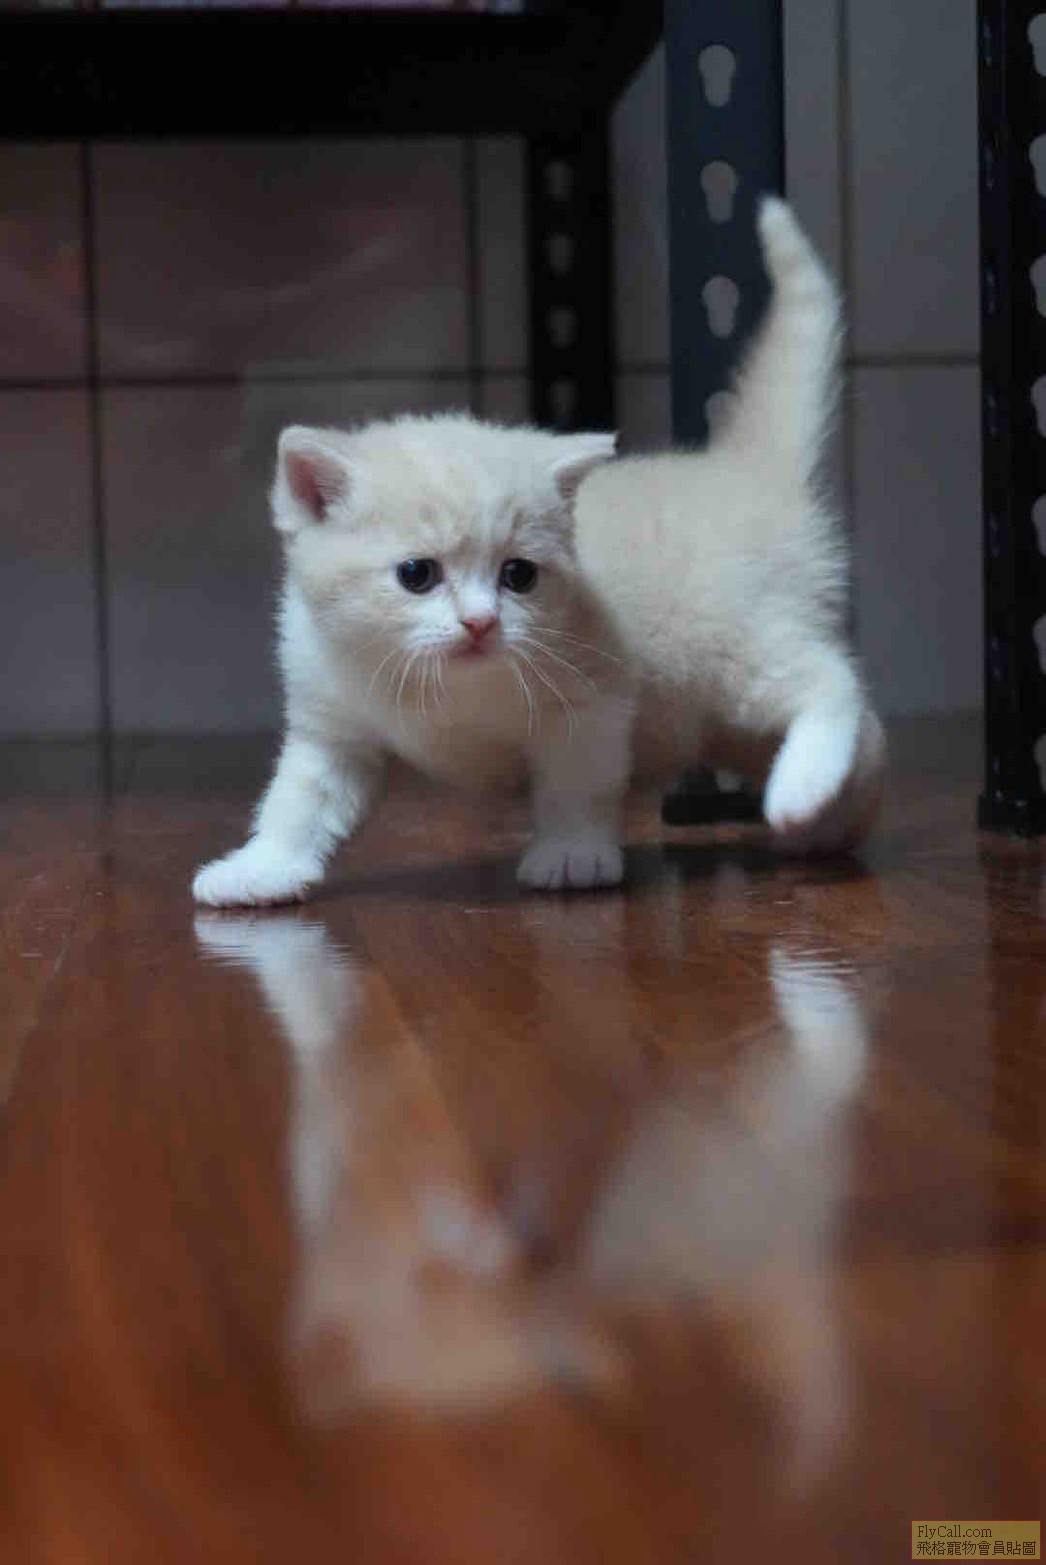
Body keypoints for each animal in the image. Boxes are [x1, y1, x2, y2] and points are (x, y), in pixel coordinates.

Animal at [193, 197, 884, 908]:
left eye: (518, 575)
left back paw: (801, 787)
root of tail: (744, 471)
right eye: (417, 574)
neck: (446, 692)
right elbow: (299, 802)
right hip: (722, 721)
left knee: (835, 681)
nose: (479, 622)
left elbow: (577, 790)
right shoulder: (332, 726)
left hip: (734, 653)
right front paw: (261, 867)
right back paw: (827, 821)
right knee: (871, 741)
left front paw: (573, 855)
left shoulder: (593, 703)